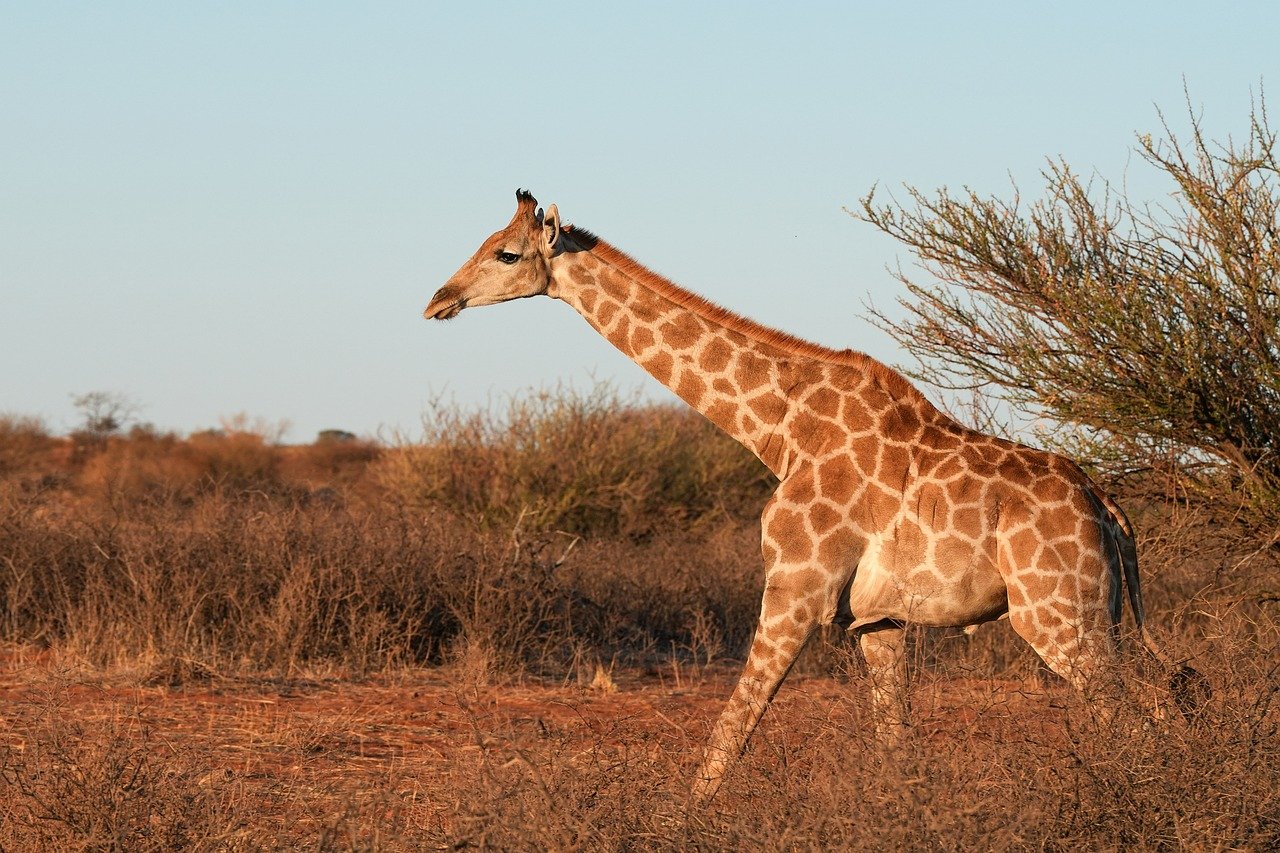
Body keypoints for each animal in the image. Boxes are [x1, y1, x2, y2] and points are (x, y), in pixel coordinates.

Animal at [422, 189, 1198, 799]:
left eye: (507, 255)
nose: (438, 300)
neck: (778, 427)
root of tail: (1108, 508)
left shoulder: (796, 585)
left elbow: (732, 729)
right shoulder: (880, 620)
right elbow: (895, 747)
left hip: (1059, 615)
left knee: (1142, 712)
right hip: (1099, 615)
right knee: (1168, 698)